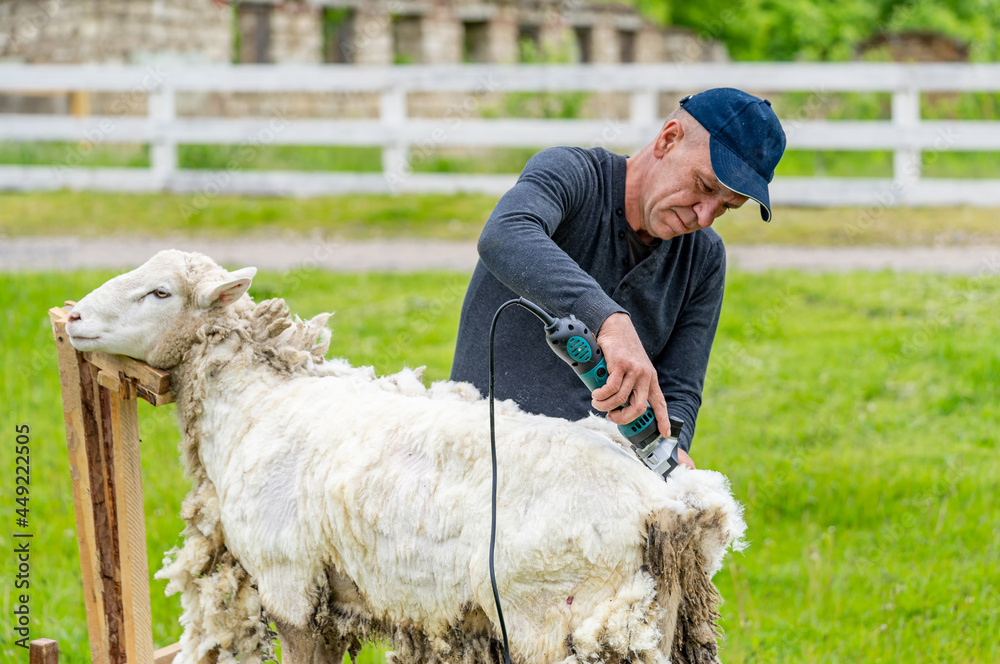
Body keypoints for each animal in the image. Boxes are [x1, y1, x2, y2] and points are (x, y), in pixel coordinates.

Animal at [66, 248, 748, 664]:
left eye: (159, 292)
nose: (71, 316)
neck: (256, 402)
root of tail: (666, 506)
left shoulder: (291, 582)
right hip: (658, 622)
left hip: (555, 619)